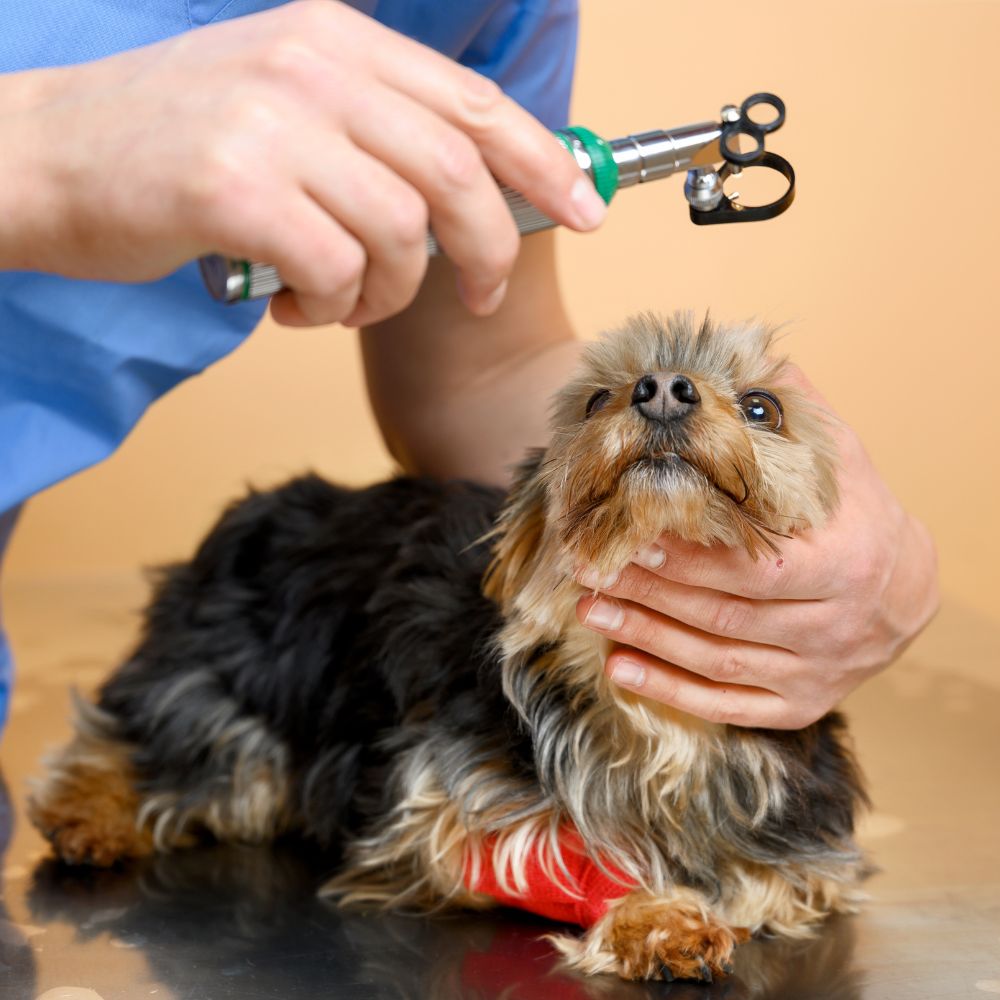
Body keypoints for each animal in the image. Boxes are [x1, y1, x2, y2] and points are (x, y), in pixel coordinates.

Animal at [29, 314, 868, 984]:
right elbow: (561, 857)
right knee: (152, 739)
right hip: (234, 687)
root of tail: (252, 513)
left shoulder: (795, 863)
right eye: (595, 399)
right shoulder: (449, 814)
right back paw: (87, 814)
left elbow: (755, 880)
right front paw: (651, 915)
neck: (643, 709)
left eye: (764, 407)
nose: (660, 388)